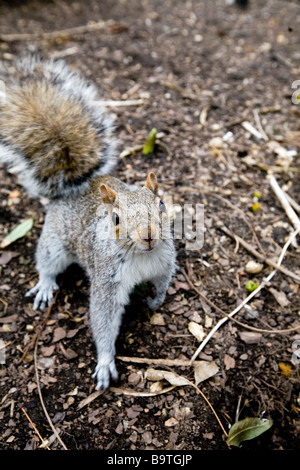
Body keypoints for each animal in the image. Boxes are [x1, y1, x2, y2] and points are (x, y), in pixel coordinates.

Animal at [0, 57, 177, 390]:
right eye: (116, 218)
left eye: (161, 204)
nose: (148, 235)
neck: (142, 256)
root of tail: (75, 188)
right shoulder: (107, 280)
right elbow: (103, 318)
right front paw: (106, 361)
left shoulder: (164, 262)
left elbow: (162, 282)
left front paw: (156, 299)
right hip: (55, 244)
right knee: (47, 262)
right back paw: (45, 284)